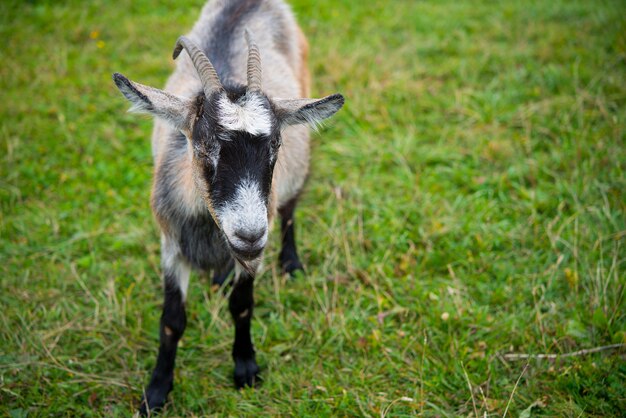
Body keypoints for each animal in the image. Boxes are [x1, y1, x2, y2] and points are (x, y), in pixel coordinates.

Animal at [109, 0, 338, 414]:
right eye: (202, 147)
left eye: (275, 146)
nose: (249, 235)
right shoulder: (171, 246)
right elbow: (172, 320)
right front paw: (156, 392)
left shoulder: (255, 251)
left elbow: (242, 305)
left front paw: (245, 368)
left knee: (291, 207)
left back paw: (291, 262)